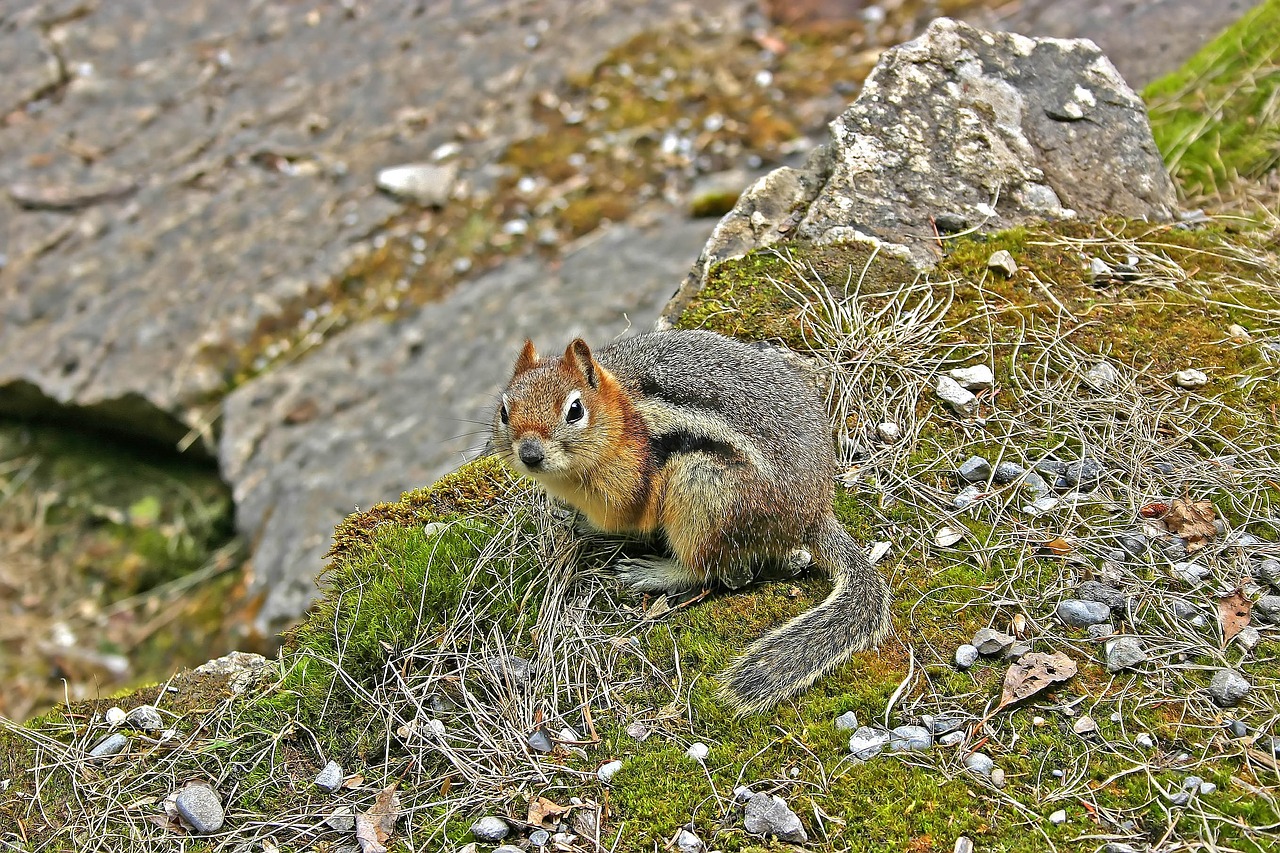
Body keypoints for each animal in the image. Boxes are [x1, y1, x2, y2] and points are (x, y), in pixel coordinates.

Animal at [488, 326, 890, 712]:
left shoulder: (627, 488)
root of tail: (815, 513)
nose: (530, 454)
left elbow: (620, 522)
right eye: (505, 411)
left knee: (714, 570)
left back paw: (654, 573)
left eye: (575, 410)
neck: (622, 414)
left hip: (703, 494)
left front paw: (584, 525)